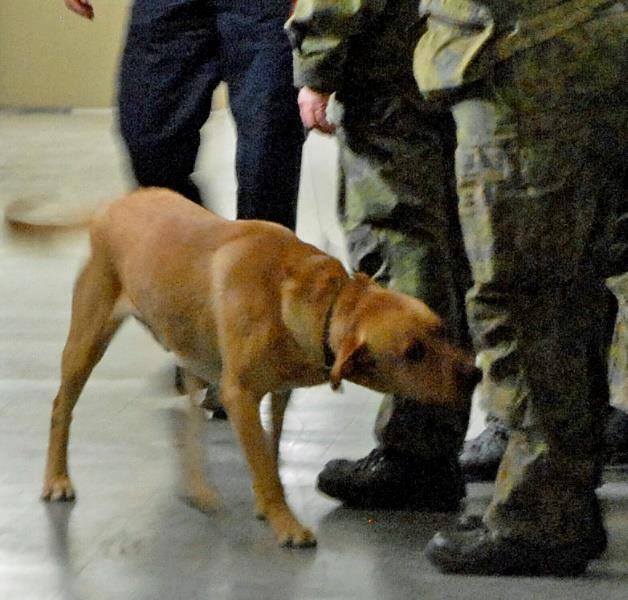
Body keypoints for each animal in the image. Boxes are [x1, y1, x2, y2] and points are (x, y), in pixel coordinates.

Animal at [41, 189, 478, 548]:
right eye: (413, 352)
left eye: (441, 330)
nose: (475, 375)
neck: (317, 302)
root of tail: (111, 206)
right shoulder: (239, 395)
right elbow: (265, 465)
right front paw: (285, 522)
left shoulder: (280, 392)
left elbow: (270, 449)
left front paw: (267, 504)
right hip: (87, 340)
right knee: (62, 406)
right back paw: (57, 479)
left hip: (191, 349)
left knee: (190, 414)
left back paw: (198, 488)